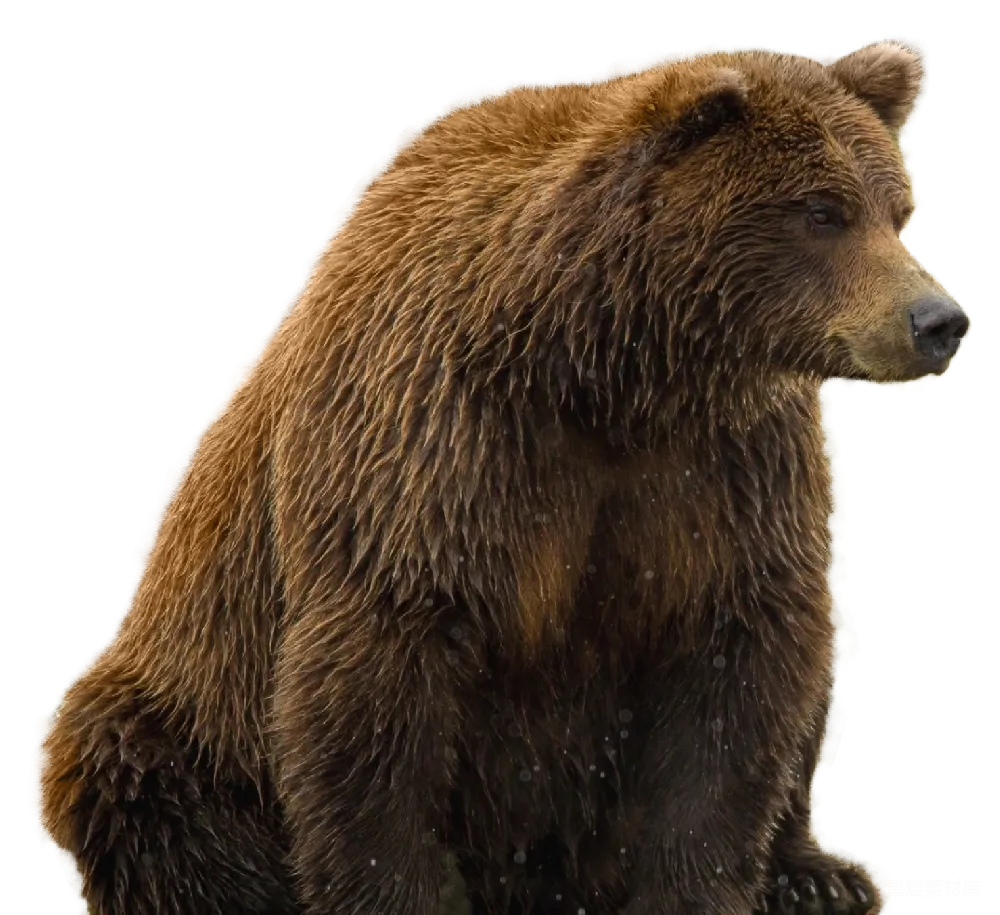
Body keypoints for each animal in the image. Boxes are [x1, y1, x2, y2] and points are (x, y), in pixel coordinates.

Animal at [28, 41, 966, 915]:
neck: (613, 371)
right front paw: (398, 892)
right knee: (133, 777)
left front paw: (699, 886)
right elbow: (379, 688)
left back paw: (820, 871)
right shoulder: (434, 447)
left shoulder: (725, 470)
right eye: (822, 210)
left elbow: (738, 664)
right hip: (181, 704)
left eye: (898, 209)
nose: (938, 319)